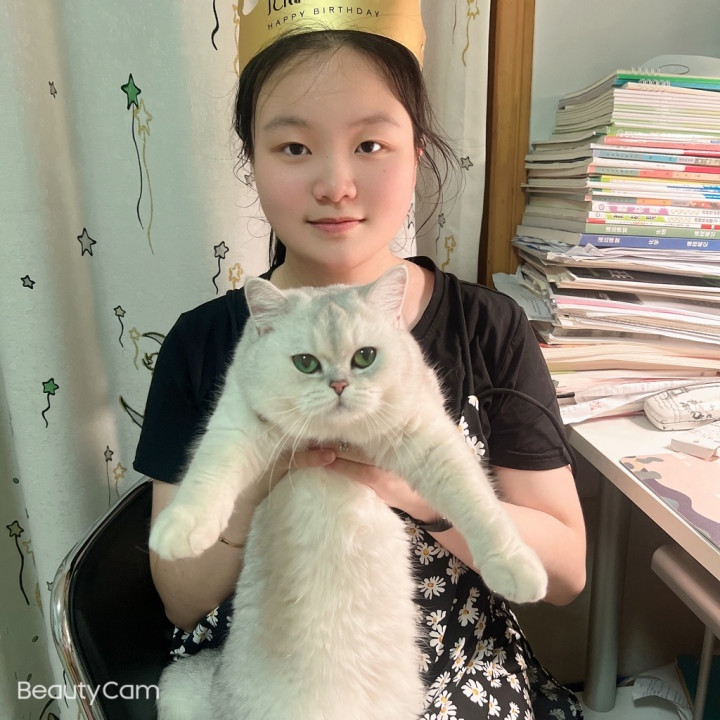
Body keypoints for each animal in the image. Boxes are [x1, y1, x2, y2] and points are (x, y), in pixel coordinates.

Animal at [149, 264, 548, 720]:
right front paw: (179, 531)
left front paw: (516, 569)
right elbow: (209, 473)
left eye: (365, 357)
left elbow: (478, 503)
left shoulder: (431, 439)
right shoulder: (237, 425)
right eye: (305, 363)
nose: (339, 385)